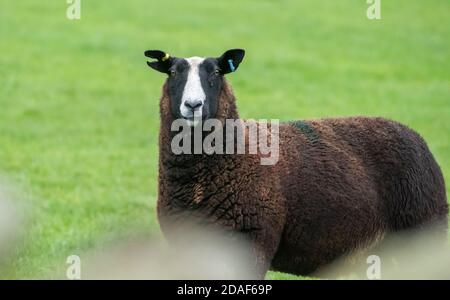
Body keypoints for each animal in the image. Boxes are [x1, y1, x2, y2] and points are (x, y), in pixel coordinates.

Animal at [144, 48, 446, 278]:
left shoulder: (251, 245)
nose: (193, 105)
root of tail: (415, 135)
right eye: (173, 73)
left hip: (424, 233)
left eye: (216, 73)